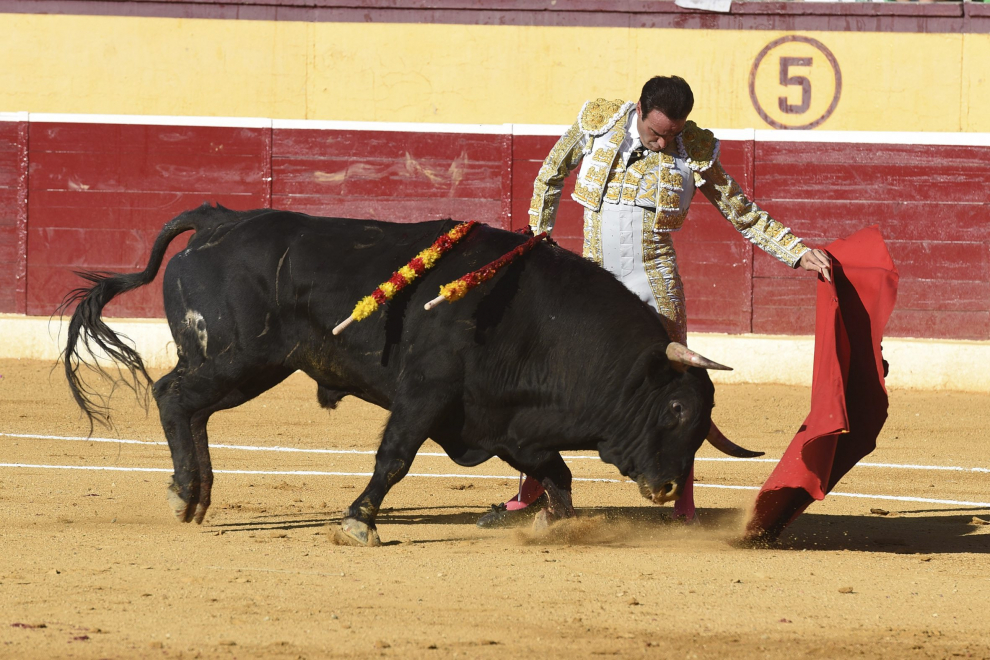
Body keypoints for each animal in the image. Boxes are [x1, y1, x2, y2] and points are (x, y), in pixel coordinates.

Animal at [64, 204, 752, 544]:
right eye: (676, 410)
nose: (666, 487)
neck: (539, 321)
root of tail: (219, 221)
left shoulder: (504, 422)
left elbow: (556, 473)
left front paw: (547, 522)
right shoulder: (426, 394)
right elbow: (394, 457)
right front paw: (357, 523)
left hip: (237, 364)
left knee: (191, 406)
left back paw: (198, 495)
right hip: (243, 358)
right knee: (174, 396)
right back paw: (186, 495)